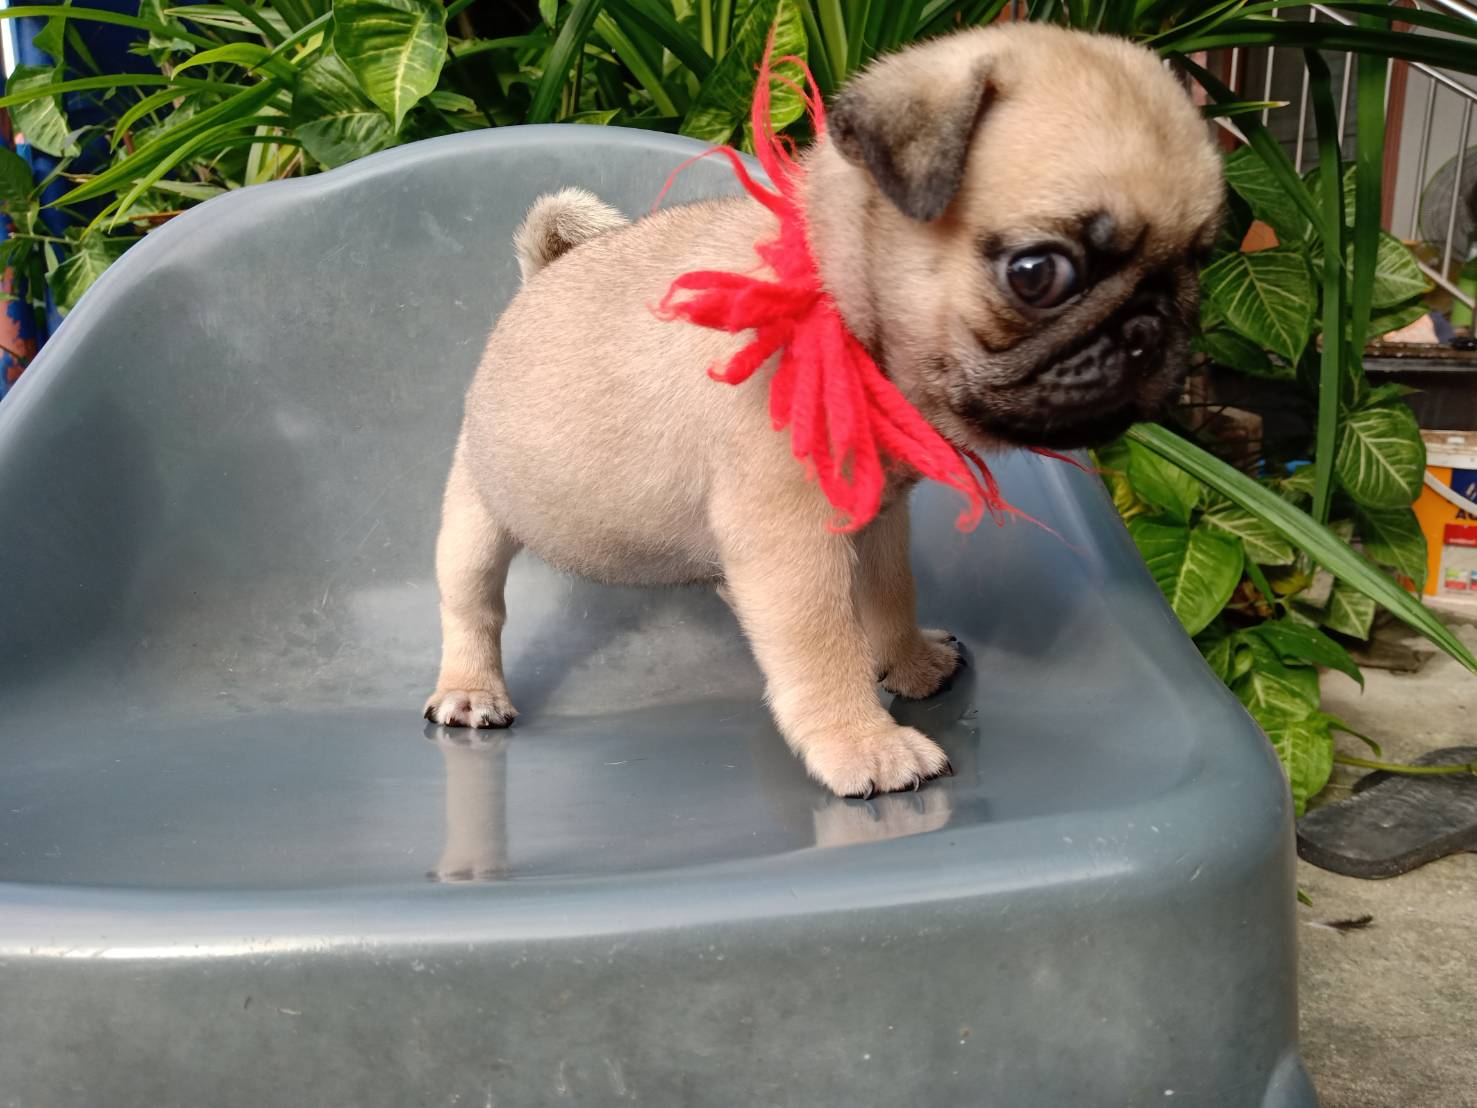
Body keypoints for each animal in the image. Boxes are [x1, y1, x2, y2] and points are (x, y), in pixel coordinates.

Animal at [423, 23, 1224, 798]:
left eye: (1200, 260)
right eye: (1037, 273)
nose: (1151, 327)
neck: (836, 311)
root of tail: (542, 274)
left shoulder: (875, 515)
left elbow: (890, 594)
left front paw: (907, 663)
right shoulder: (792, 539)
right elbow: (822, 641)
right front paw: (863, 743)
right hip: (474, 509)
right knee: (473, 606)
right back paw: (470, 690)